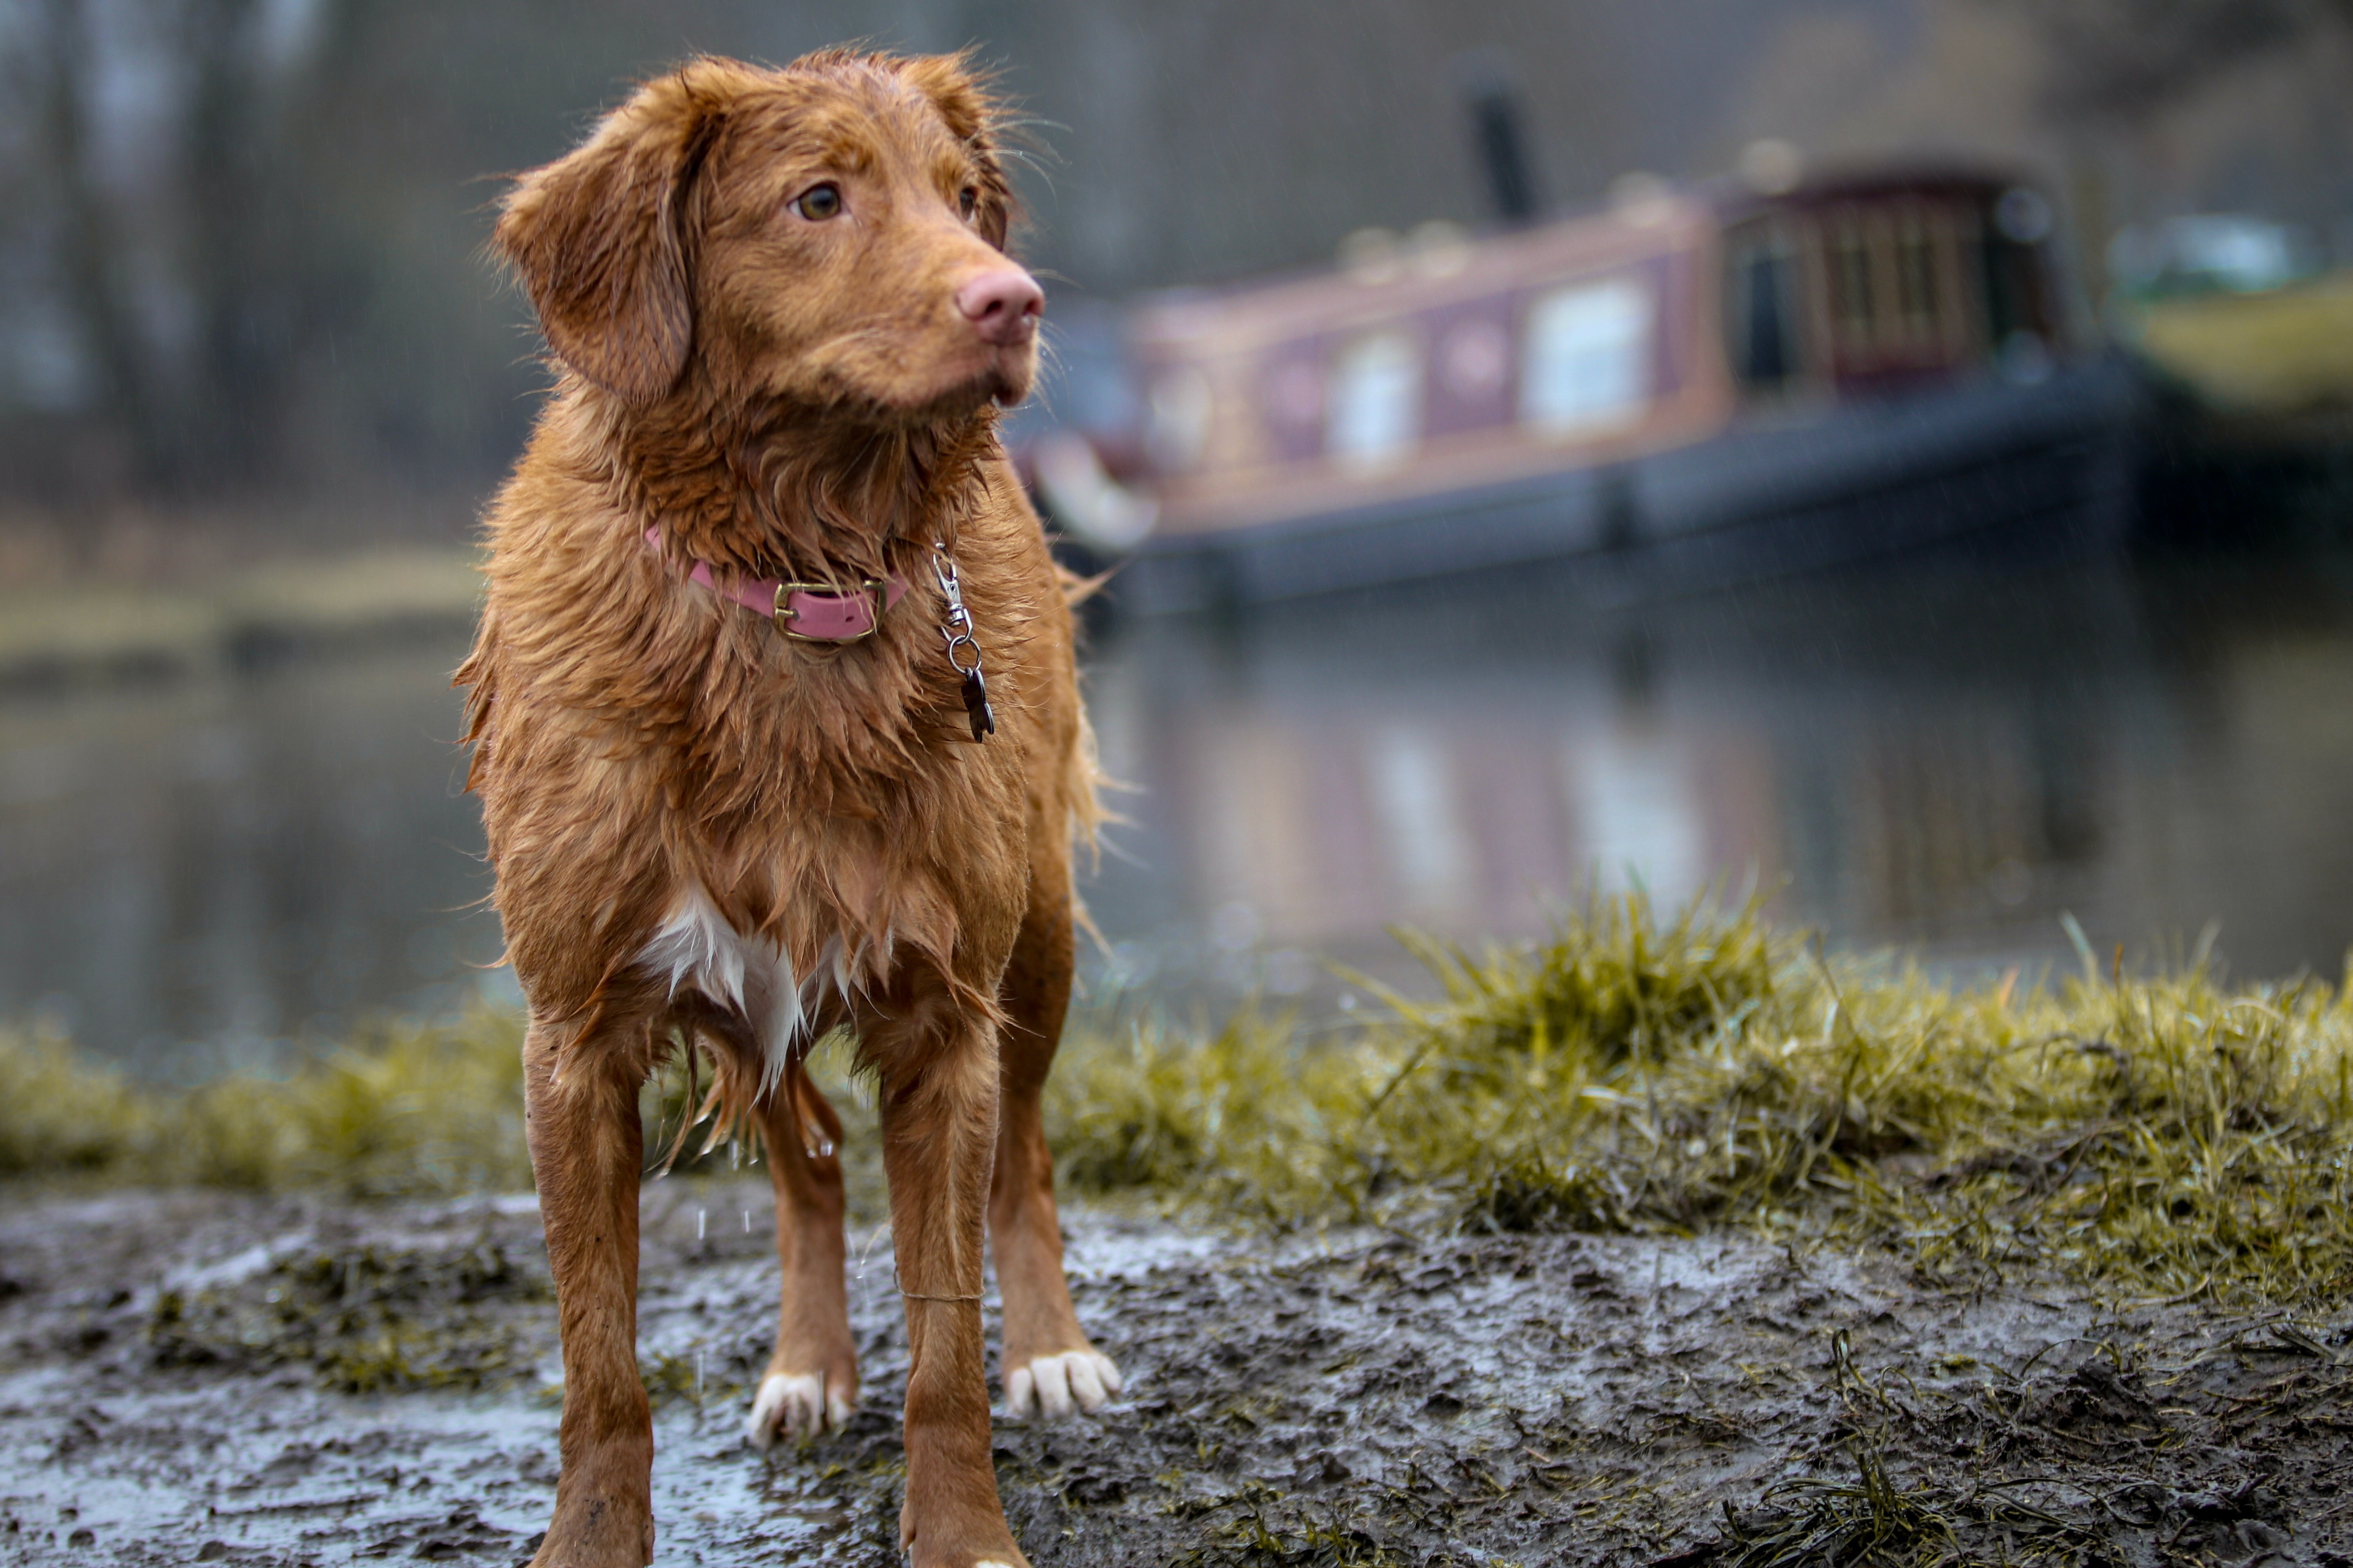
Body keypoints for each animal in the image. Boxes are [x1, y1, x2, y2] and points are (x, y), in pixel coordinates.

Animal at [466, 49, 1120, 1568]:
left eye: (962, 198)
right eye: (818, 199)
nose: (1012, 300)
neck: (787, 584)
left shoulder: (947, 1017)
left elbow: (944, 1345)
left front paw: (962, 1533)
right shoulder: (576, 1039)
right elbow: (601, 1366)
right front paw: (591, 1540)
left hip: (1035, 946)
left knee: (1022, 1163)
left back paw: (1048, 1347)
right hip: (742, 1007)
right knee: (807, 1170)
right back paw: (807, 1364)